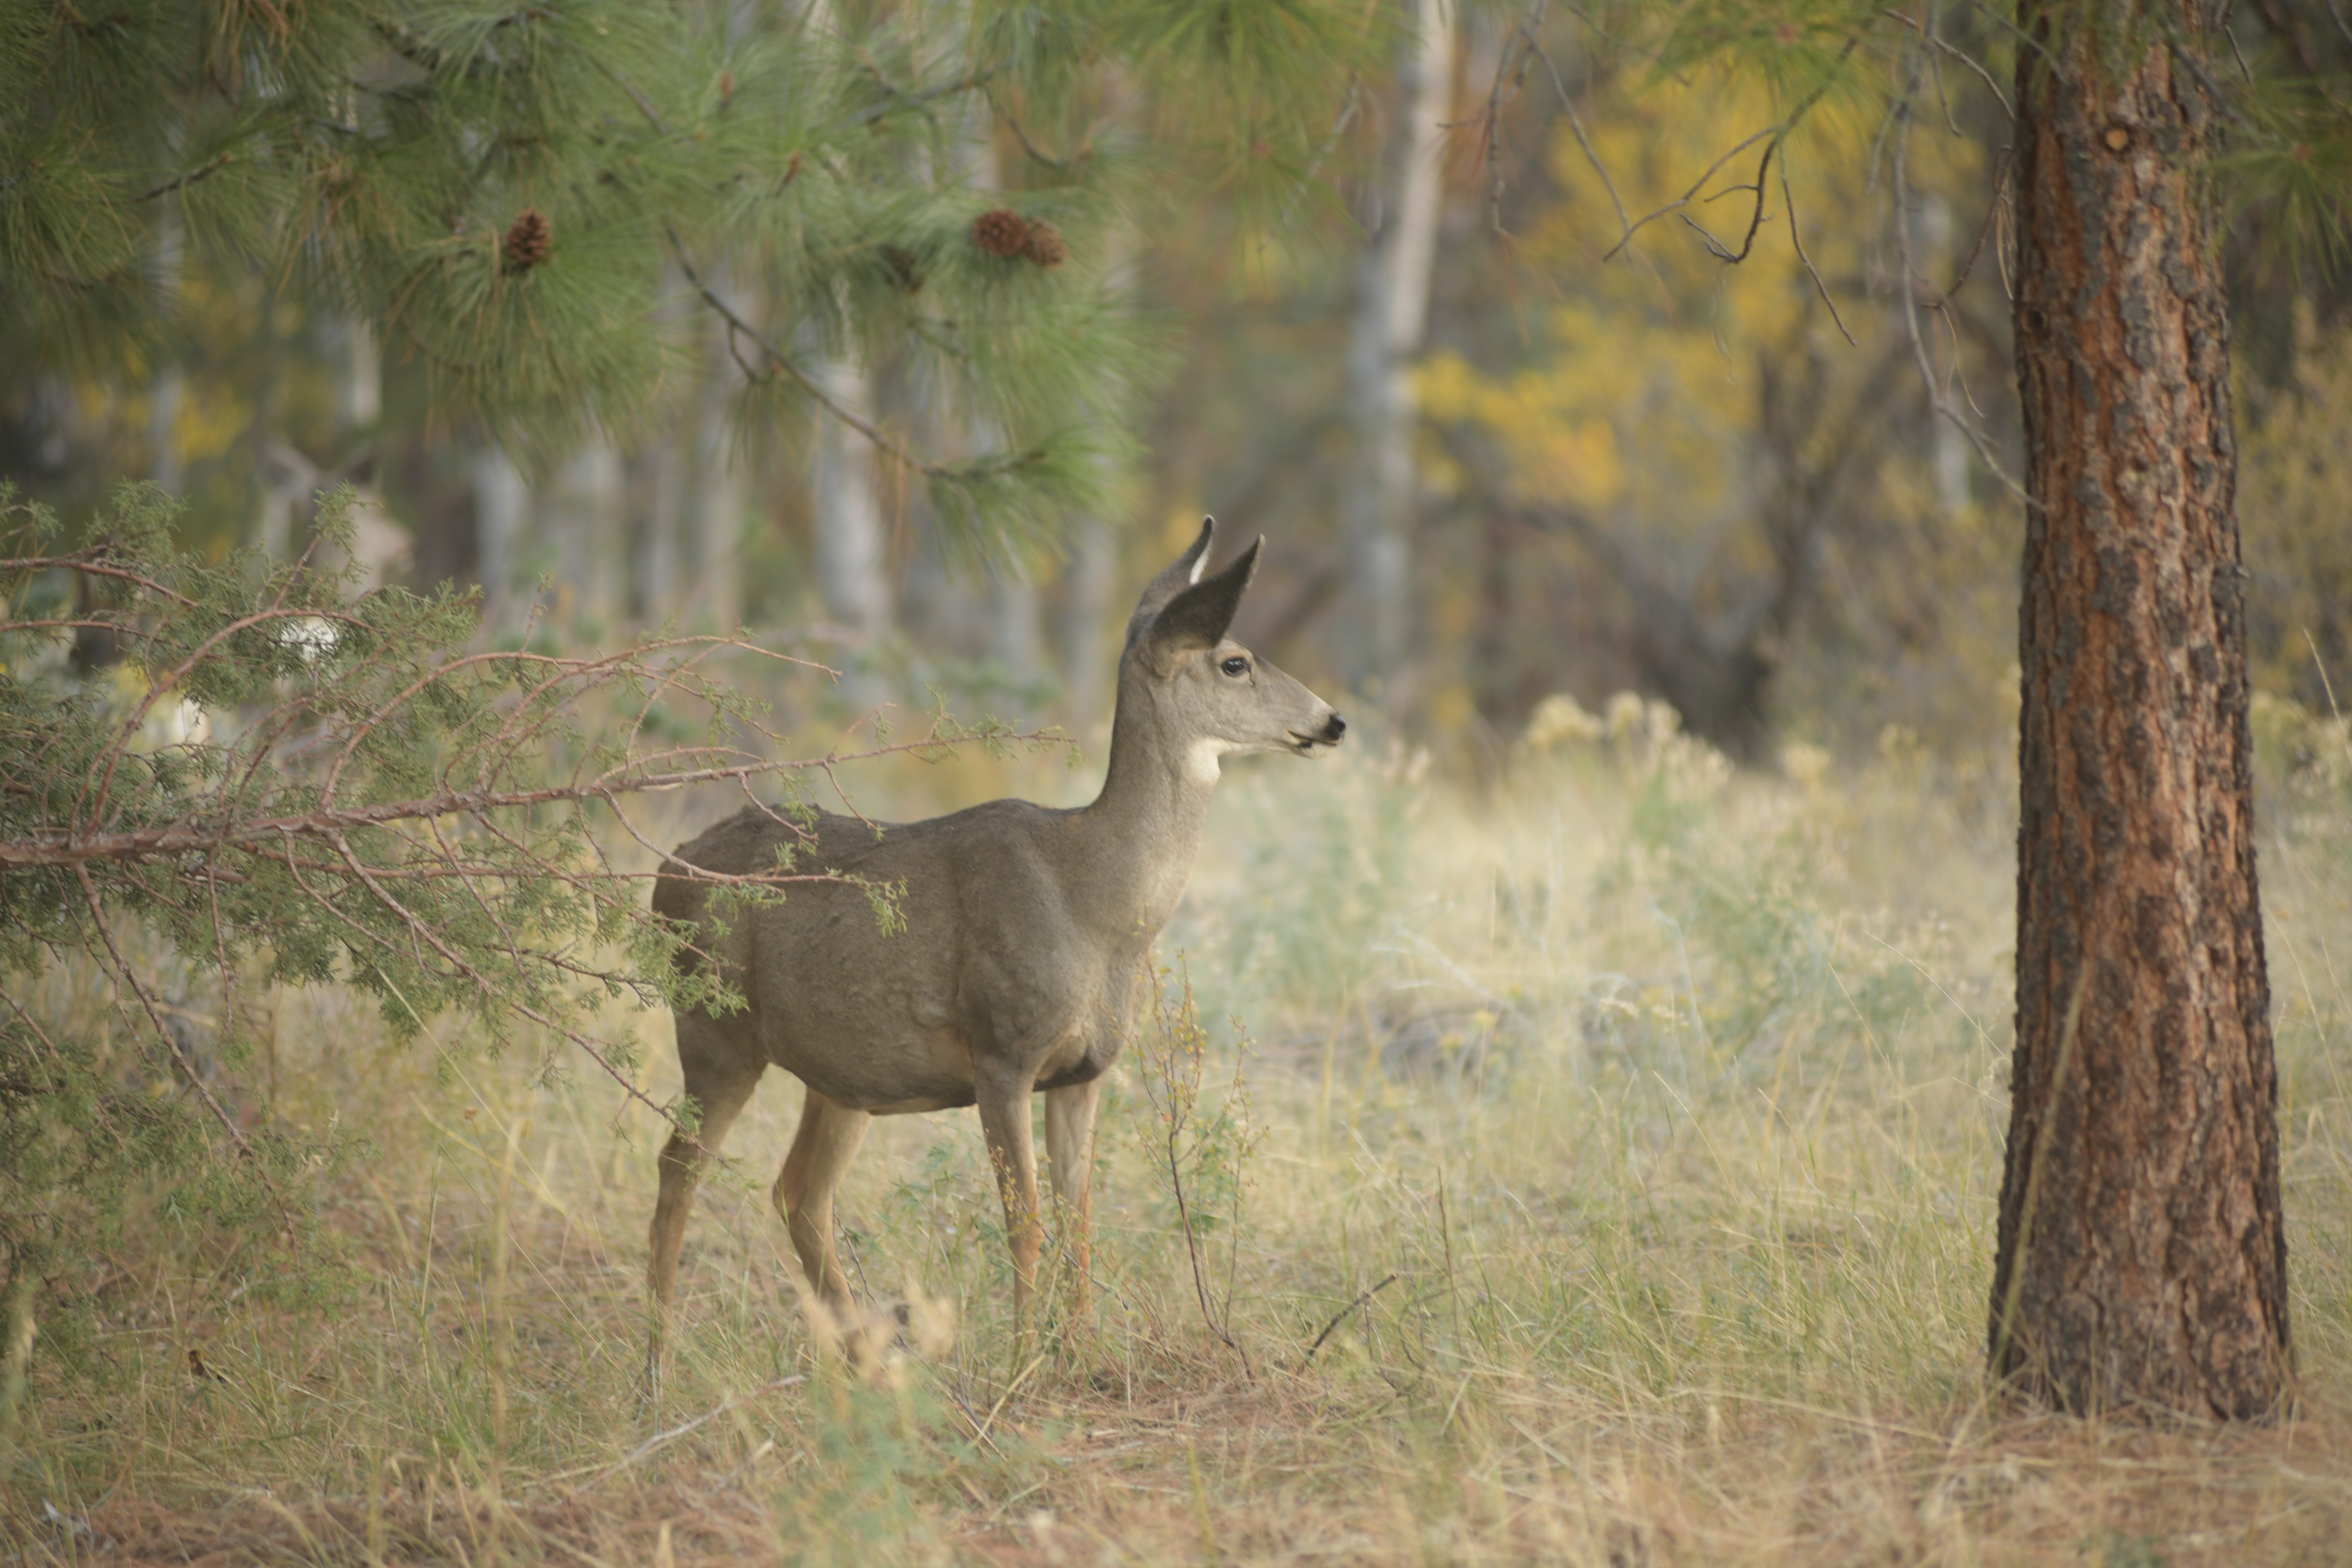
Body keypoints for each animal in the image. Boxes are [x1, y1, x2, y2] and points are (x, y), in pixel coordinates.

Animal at [646, 520, 1345, 1365]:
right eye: (1234, 660)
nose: (1333, 720)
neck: (1097, 904)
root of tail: (665, 871)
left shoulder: (1084, 1071)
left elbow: (1081, 1222)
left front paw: (1083, 1353)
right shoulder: (1003, 1051)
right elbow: (1027, 1223)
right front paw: (1024, 1363)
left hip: (843, 1071)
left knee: (799, 1192)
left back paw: (865, 1359)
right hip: (712, 1028)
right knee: (679, 1169)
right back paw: (656, 1360)